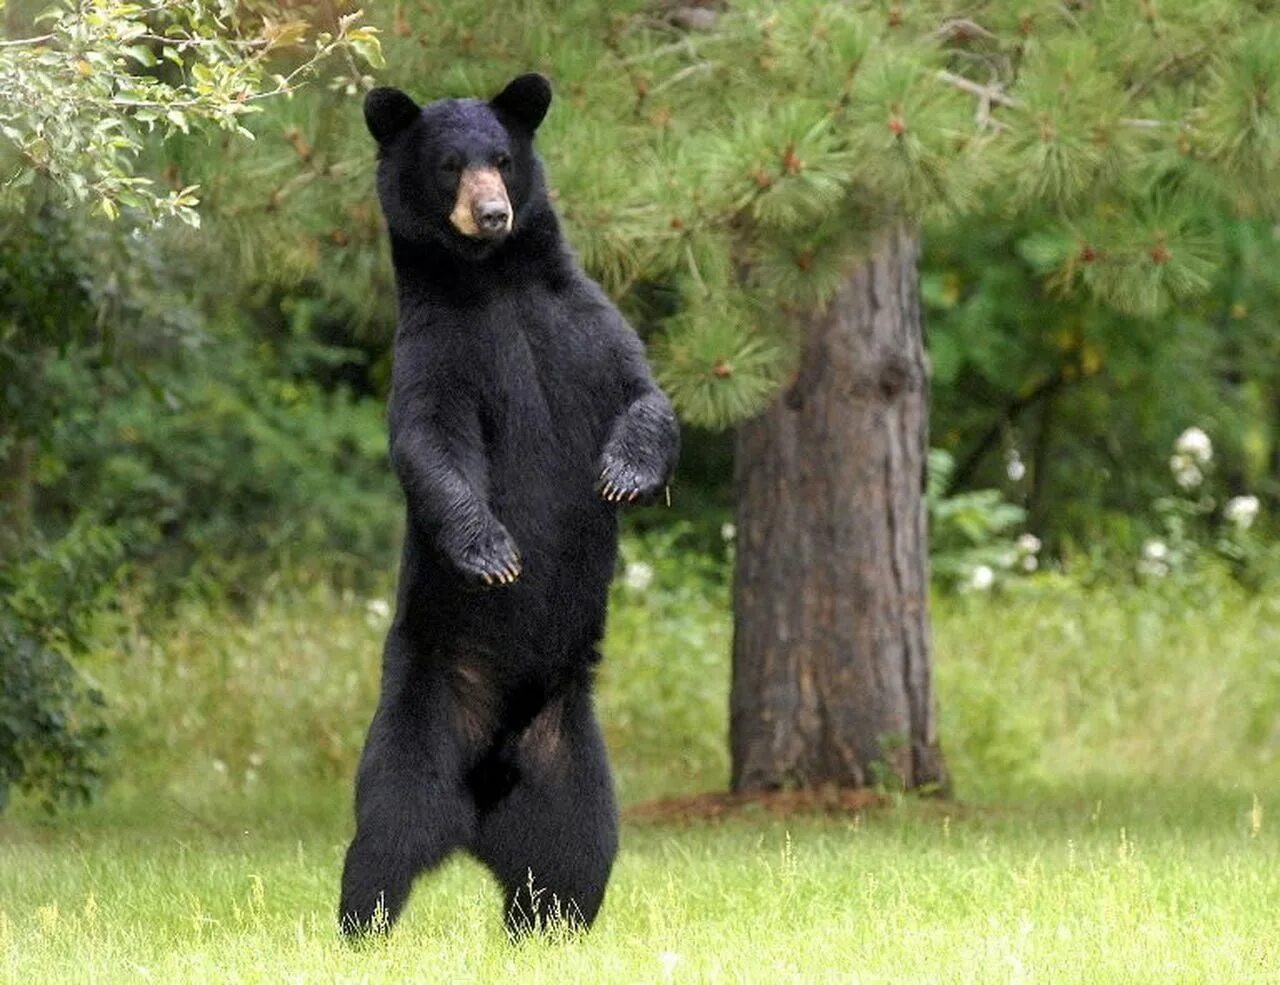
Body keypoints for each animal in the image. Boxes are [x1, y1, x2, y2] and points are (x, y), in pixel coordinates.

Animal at [337, 72, 680, 931]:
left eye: (500, 159)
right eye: (451, 166)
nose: (492, 212)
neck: (495, 278)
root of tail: (479, 805)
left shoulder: (584, 321)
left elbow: (647, 396)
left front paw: (625, 472)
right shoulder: (439, 350)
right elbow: (431, 441)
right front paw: (490, 549)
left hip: (569, 755)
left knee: (574, 853)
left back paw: (551, 925)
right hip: (419, 717)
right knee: (386, 834)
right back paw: (362, 925)